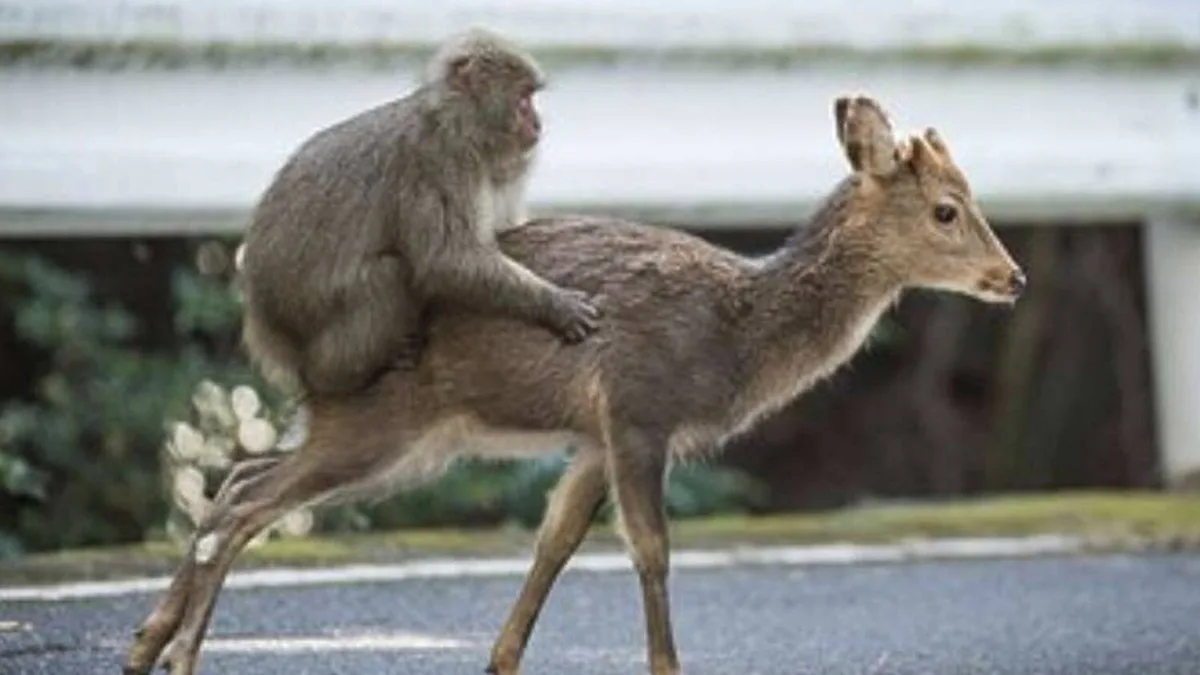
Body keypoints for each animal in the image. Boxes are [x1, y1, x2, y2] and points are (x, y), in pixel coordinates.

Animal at [123, 94, 1025, 675]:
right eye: (947, 210)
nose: (1012, 277)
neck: (735, 336)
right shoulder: (637, 408)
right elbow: (651, 549)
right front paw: (665, 666)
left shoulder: (592, 436)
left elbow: (554, 542)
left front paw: (500, 659)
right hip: (385, 423)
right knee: (247, 500)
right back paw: (178, 653)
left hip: (382, 433)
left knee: (239, 476)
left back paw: (147, 642)